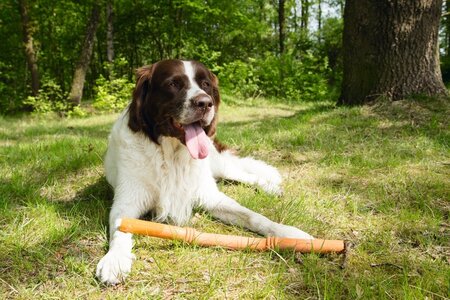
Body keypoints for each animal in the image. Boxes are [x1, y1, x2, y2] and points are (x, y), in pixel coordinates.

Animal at [95, 59, 312, 284]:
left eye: (206, 84)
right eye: (173, 84)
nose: (206, 103)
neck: (171, 154)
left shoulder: (210, 196)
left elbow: (253, 216)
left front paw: (288, 233)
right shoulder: (127, 202)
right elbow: (121, 228)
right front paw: (115, 259)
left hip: (218, 164)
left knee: (245, 173)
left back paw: (270, 187)